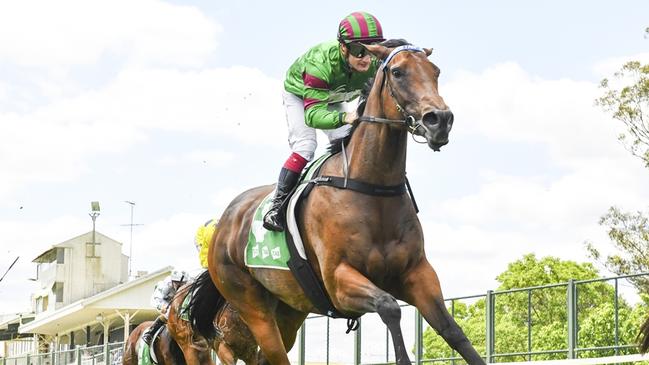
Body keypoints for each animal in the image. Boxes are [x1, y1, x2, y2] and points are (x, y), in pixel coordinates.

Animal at [186, 38, 480, 362]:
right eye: (398, 72)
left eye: (435, 71)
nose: (440, 120)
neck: (371, 188)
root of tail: (222, 226)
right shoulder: (338, 280)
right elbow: (389, 307)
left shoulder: (417, 273)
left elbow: (453, 331)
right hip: (252, 307)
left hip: (290, 307)